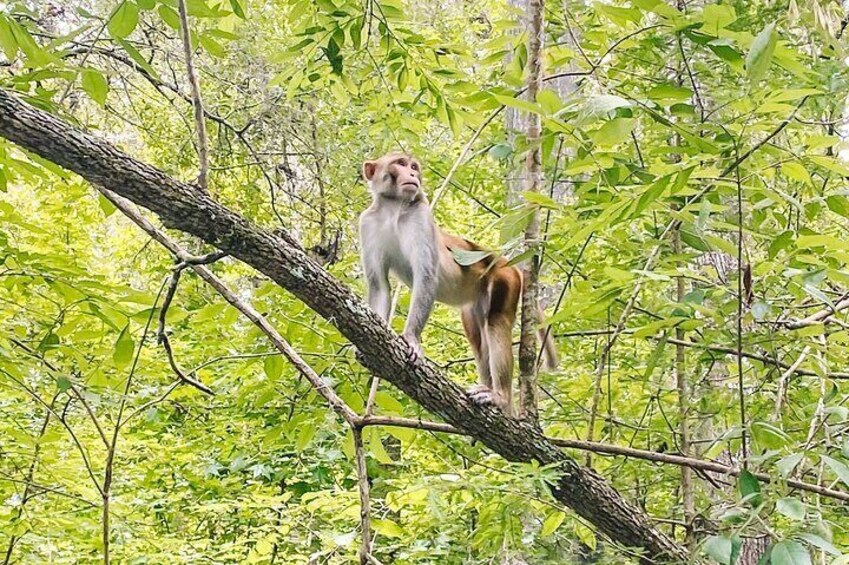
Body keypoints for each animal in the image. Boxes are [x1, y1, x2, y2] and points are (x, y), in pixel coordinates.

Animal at [358, 150, 556, 414]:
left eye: (413, 166)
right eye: (400, 164)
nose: (412, 175)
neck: (393, 209)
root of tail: (508, 263)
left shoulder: (421, 218)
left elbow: (426, 277)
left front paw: (411, 338)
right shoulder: (367, 223)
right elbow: (379, 285)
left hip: (505, 280)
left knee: (496, 322)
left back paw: (500, 398)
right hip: (475, 302)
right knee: (477, 337)